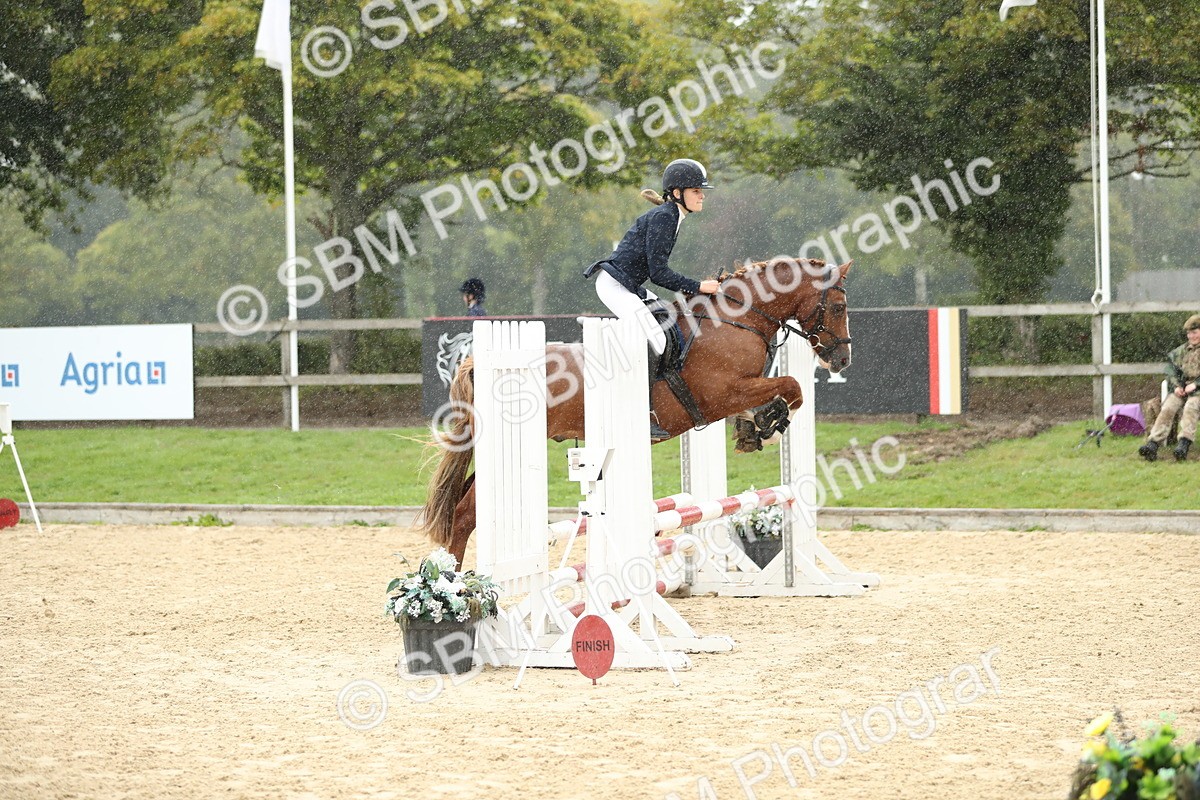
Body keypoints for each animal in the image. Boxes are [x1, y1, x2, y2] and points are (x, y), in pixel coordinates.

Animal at [419, 257, 854, 566]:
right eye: (838, 306)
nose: (842, 361)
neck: (735, 321)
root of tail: (476, 362)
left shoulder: (739, 390)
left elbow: (777, 393)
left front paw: (754, 428)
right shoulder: (723, 393)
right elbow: (792, 388)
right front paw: (770, 423)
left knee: (463, 508)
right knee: (465, 514)